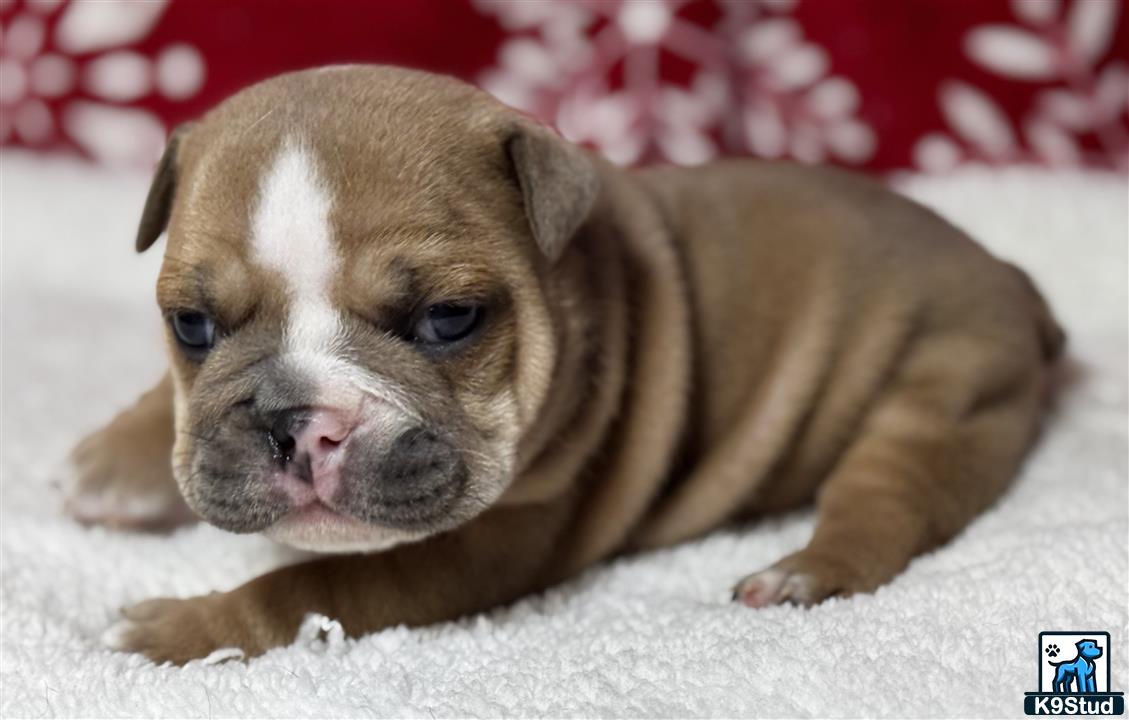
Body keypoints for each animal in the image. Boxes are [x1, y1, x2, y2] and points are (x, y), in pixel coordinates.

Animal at [64, 67, 1065, 668]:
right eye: (192, 325)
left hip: (942, 397)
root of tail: (1012, 279)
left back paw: (802, 572)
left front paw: (178, 629)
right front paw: (113, 461)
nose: (296, 422)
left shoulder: (498, 537)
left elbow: (317, 584)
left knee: (885, 504)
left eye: (449, 320)